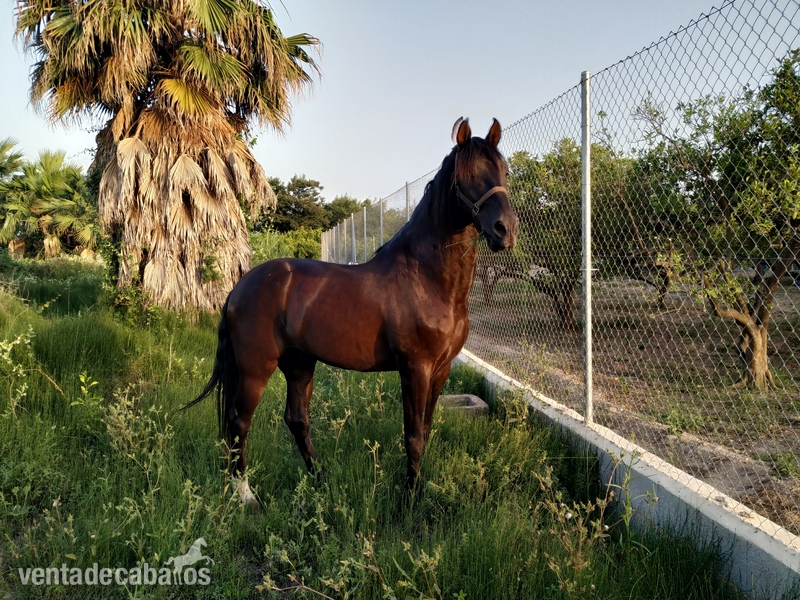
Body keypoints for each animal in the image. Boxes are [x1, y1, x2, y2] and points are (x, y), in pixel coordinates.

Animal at [185, 118, 519, 502]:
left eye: (503, 171)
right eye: (469, 175)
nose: (506, 229)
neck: (427, 279)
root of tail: (240, 287)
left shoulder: (441, 370)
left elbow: (426, 429)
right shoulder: (415, 368)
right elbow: (414, 436)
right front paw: (408, 501)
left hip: (299, 364)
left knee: (296, 420)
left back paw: (320, 477)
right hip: (256, 368)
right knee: (240, 422)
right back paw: (245, 494)